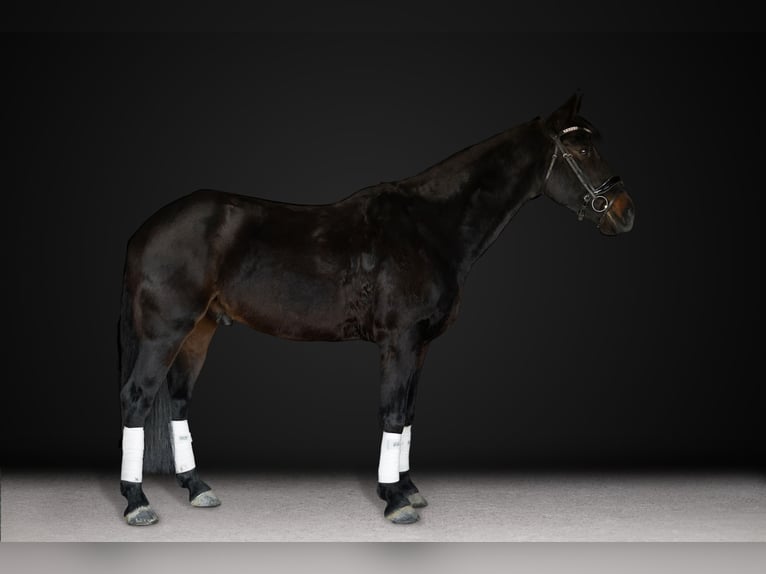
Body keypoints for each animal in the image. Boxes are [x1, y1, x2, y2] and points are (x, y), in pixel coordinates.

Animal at [117, 92, 635, 526]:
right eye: (581, 150)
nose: (624, 212)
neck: (429, 227)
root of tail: (146, 229)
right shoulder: (399, 341)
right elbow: (391, 411)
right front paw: (395, 500)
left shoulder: (421, 346)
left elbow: (407, 414)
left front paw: (409, 488)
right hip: (166, 331)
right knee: (137, 399)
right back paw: (138, 503)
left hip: (200, 330)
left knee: (178, 400)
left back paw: (197, 488)